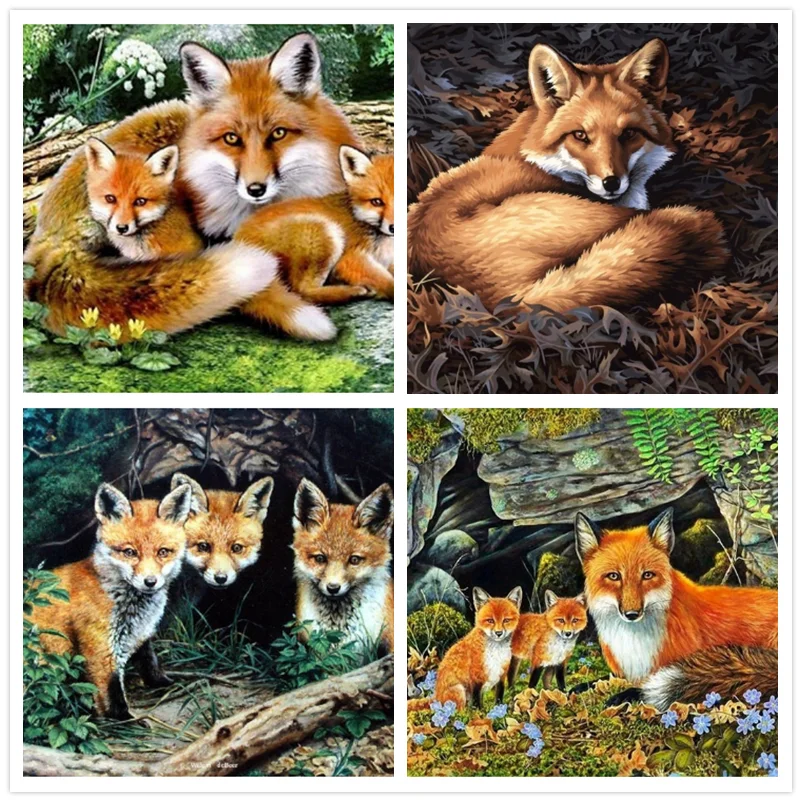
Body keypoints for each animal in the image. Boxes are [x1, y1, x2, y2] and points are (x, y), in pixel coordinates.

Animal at [27, 482, 193, 719]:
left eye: (163, 552)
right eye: (130, 552)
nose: (150, 581)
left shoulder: (141, 634)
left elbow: (150, 662)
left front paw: (165, 683)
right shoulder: (100, 646)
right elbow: (111, 691)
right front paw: (123, 719)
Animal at [236, 145, 394, 303]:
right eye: (377, 202)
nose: (393, 228)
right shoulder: (350, 257)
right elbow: (389, 283)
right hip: (325, 233)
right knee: (302, 292)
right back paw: (352, 291)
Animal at [575, 508, 778, 710]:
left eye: (647, 575)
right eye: (614, 576)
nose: (632, 614)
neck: (635, 641)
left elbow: (643, 686)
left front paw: (626, 694)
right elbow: (601, 680)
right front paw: (578, 687)